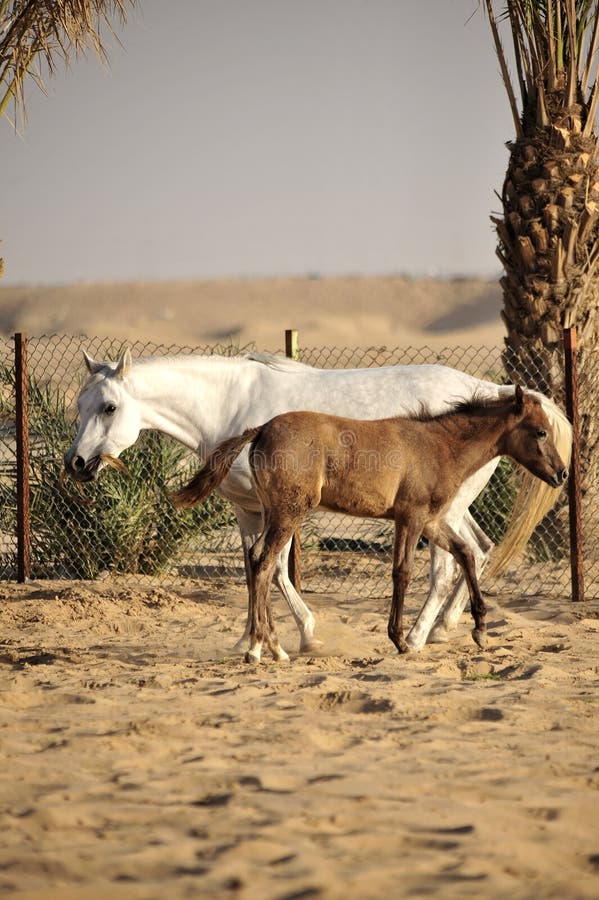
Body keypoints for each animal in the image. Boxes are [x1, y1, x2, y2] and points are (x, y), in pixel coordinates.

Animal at [63, 350, 576, 652]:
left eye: (109, 407)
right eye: (80, 406)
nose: (76, 462)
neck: (230, 404)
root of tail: (493, 389)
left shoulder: (280, 511)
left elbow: (277, 570)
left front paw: (298, 635)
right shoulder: (249, 511)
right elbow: (256, 568)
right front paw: (249, 640)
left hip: (447, 508)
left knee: (448, 565)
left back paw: (418, 634)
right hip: (448, 510)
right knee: (478, 550)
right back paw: (444, 627)